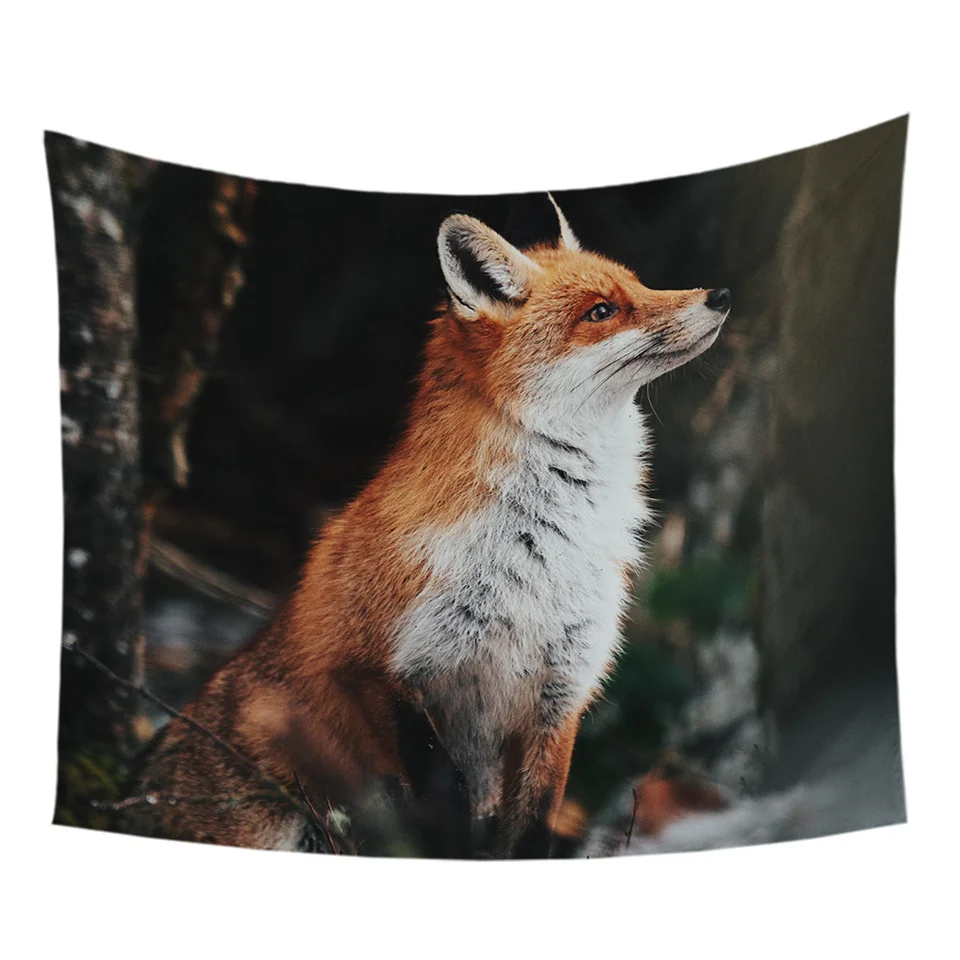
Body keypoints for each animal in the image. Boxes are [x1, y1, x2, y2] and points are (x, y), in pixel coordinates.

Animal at [120, 196, 730, 857]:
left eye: (640, 284)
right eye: (601, 311)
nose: (720, 293)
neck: (539, 553)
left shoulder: (560, 694)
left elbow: (530, 830)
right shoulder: (375, 668)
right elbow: (445, 811)